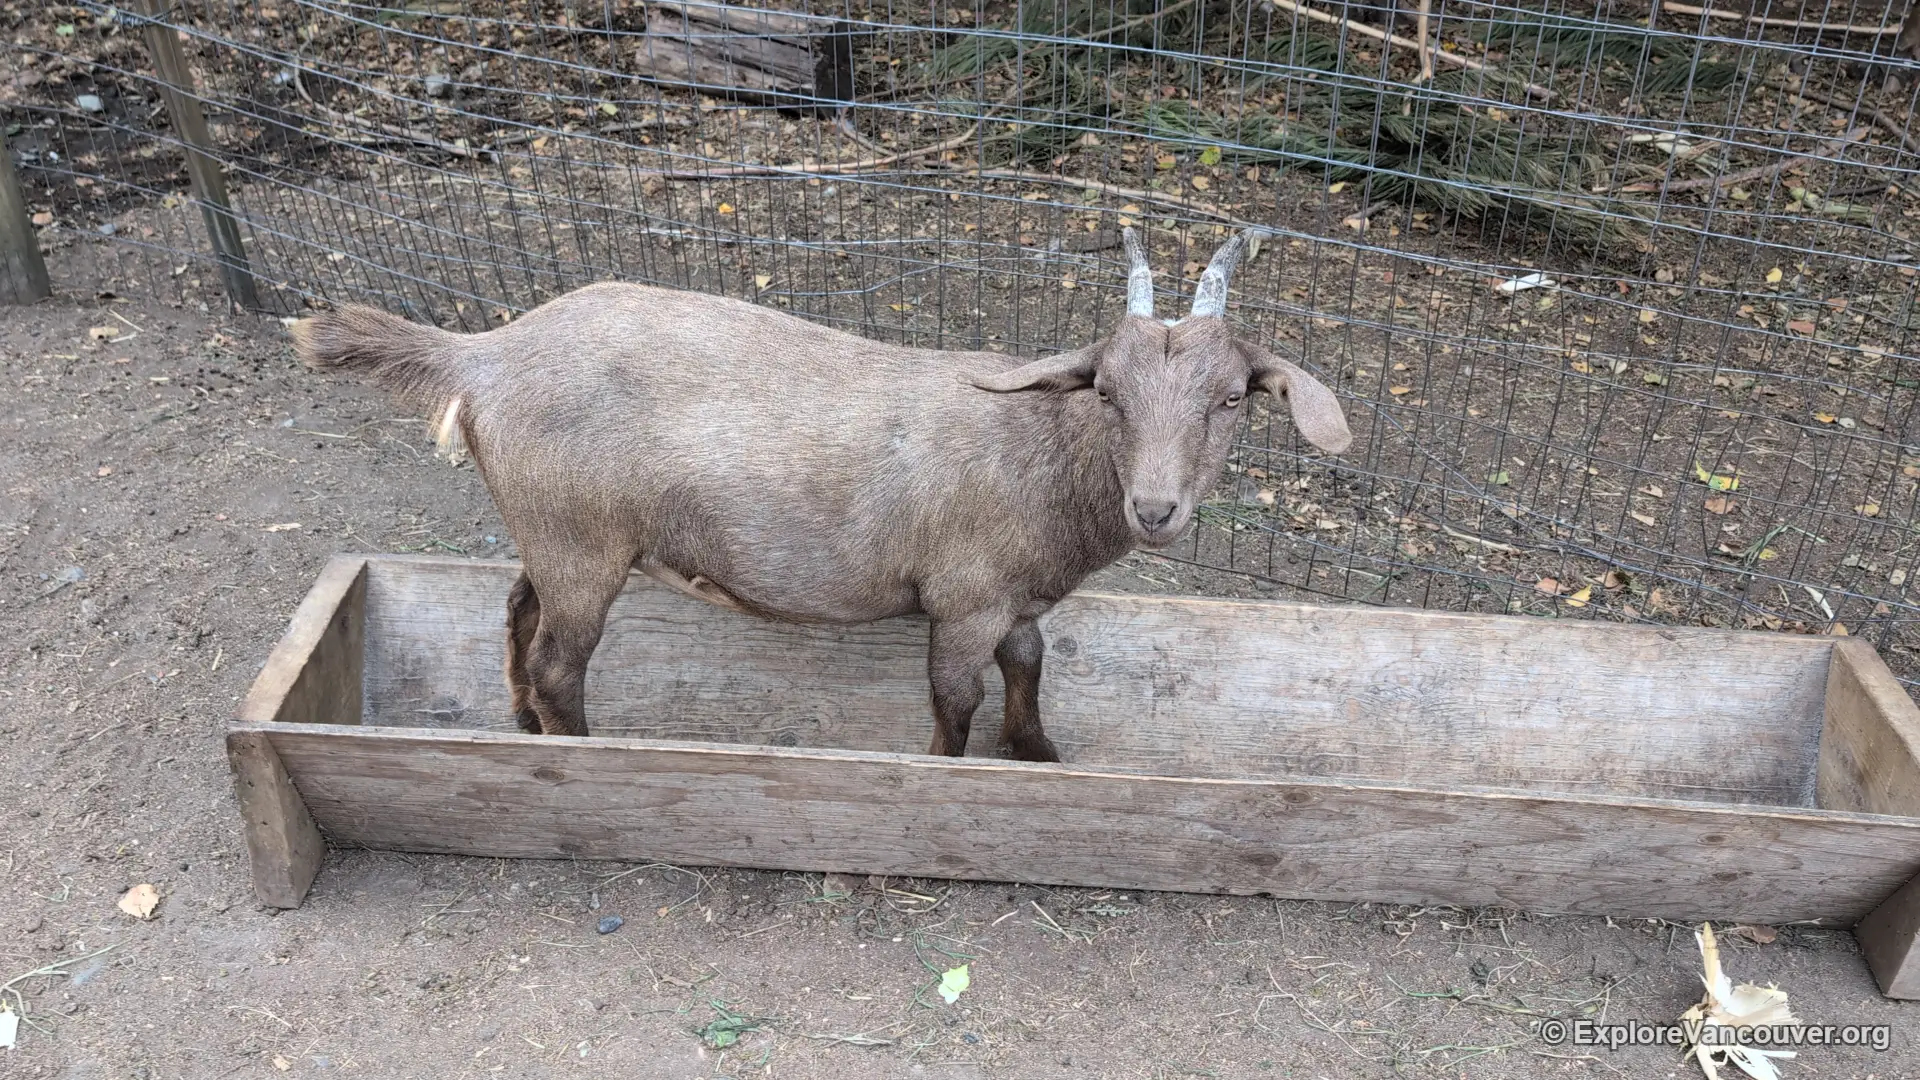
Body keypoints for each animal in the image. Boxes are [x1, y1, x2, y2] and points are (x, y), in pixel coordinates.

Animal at [291, 228, 1352, 761]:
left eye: (1230, 398)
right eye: (1108, 393)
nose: (1156, 510)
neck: (1041, 454)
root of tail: (485, 354)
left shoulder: (1015, 599)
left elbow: (1031, 668)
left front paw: (1040, 754)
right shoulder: (963, 598)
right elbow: (956, 701)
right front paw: (949, 769)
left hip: (553, 529)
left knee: (515, 609)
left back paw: (521, 727)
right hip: (582, 538)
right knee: (559, 656)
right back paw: (578, 746)